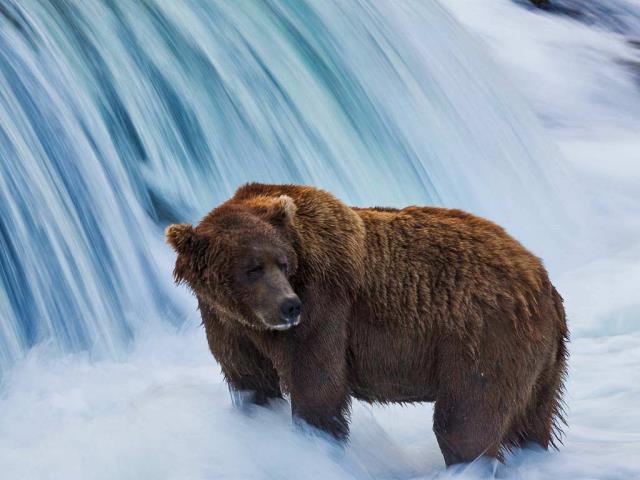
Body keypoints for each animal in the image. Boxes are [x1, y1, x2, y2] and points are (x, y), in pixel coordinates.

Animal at [166, 182, 568, 467]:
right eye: (252, 268)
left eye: (282, 262)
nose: (289, 306)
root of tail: (542, 276)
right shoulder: (228, 327)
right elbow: (252, 385)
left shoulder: (325, 306)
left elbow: (317, 388)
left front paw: (315, 446)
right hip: (539, 361)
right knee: (530, 420)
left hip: (485, 337)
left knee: (465, 421)